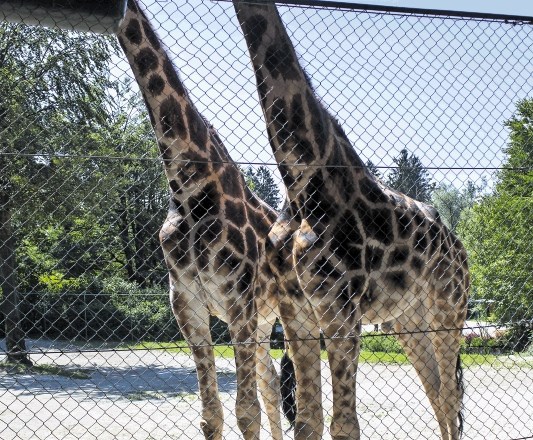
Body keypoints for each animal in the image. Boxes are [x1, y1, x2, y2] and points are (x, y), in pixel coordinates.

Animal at [114, 1, 314, 438]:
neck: (186, 186)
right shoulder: (187, 304)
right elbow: (212, 414)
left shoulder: (238, 301)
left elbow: (245, 411)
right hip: (263, 323)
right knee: (272, 385)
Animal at [235, 1, 468, 438]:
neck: (301, 177)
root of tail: (460, 248)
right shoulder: (297, 312)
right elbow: (308, 421)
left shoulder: (340, 309)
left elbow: (344, 425)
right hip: (408, 320)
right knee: (437, 395)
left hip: (449, 307)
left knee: (449, 397)